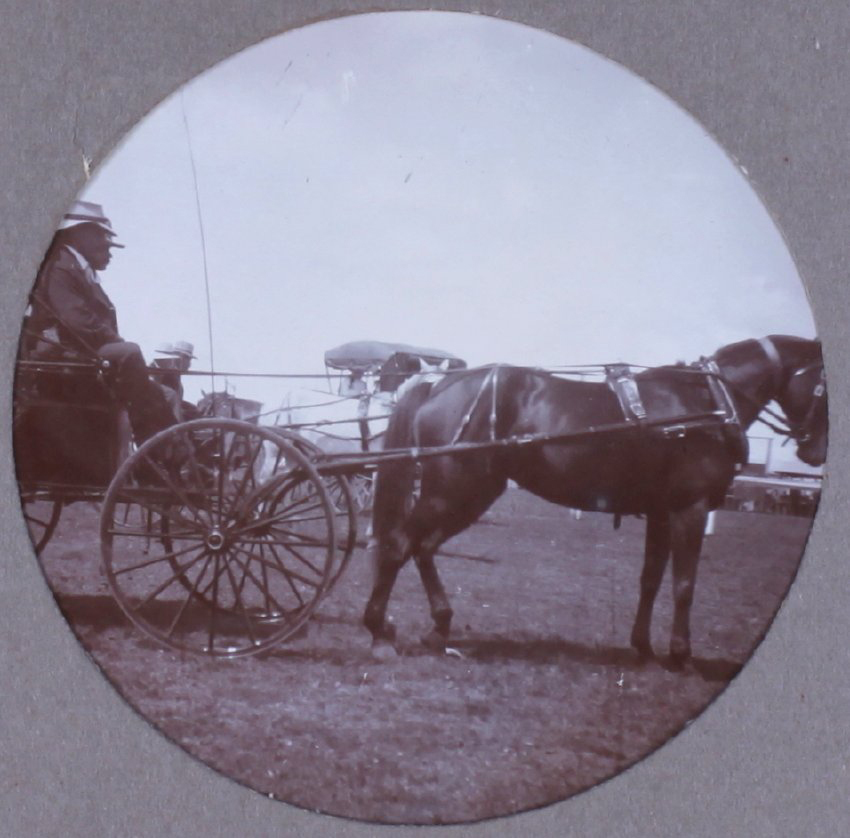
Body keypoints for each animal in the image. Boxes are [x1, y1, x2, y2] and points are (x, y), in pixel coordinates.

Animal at [363, 335, 827, 666]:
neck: (704, 405)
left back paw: (438, 627)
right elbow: (684, 586)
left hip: (467, 492)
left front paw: (643, 647)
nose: (815, 452)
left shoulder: (661, 513)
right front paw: (681, 655)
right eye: (825, 387)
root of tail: (436, 384)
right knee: (400, 545)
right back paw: (379, 631)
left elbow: (650, 580)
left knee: (422, 547)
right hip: (454, 488)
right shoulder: (689, 509)